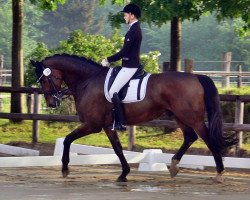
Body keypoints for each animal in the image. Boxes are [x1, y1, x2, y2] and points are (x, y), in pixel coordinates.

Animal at [29, 53, 236, 183]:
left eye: (45, 79)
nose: (52, 103)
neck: (87, 81)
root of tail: (196, 77)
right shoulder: (107, 126)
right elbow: (118, 149)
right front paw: (124, 174)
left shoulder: (93, 125)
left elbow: (67, 140)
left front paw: (65, 169)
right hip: (179, 116)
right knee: (190, 137)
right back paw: (174, 166)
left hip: (191, 117)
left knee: (207, 138)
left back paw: (219, 173)